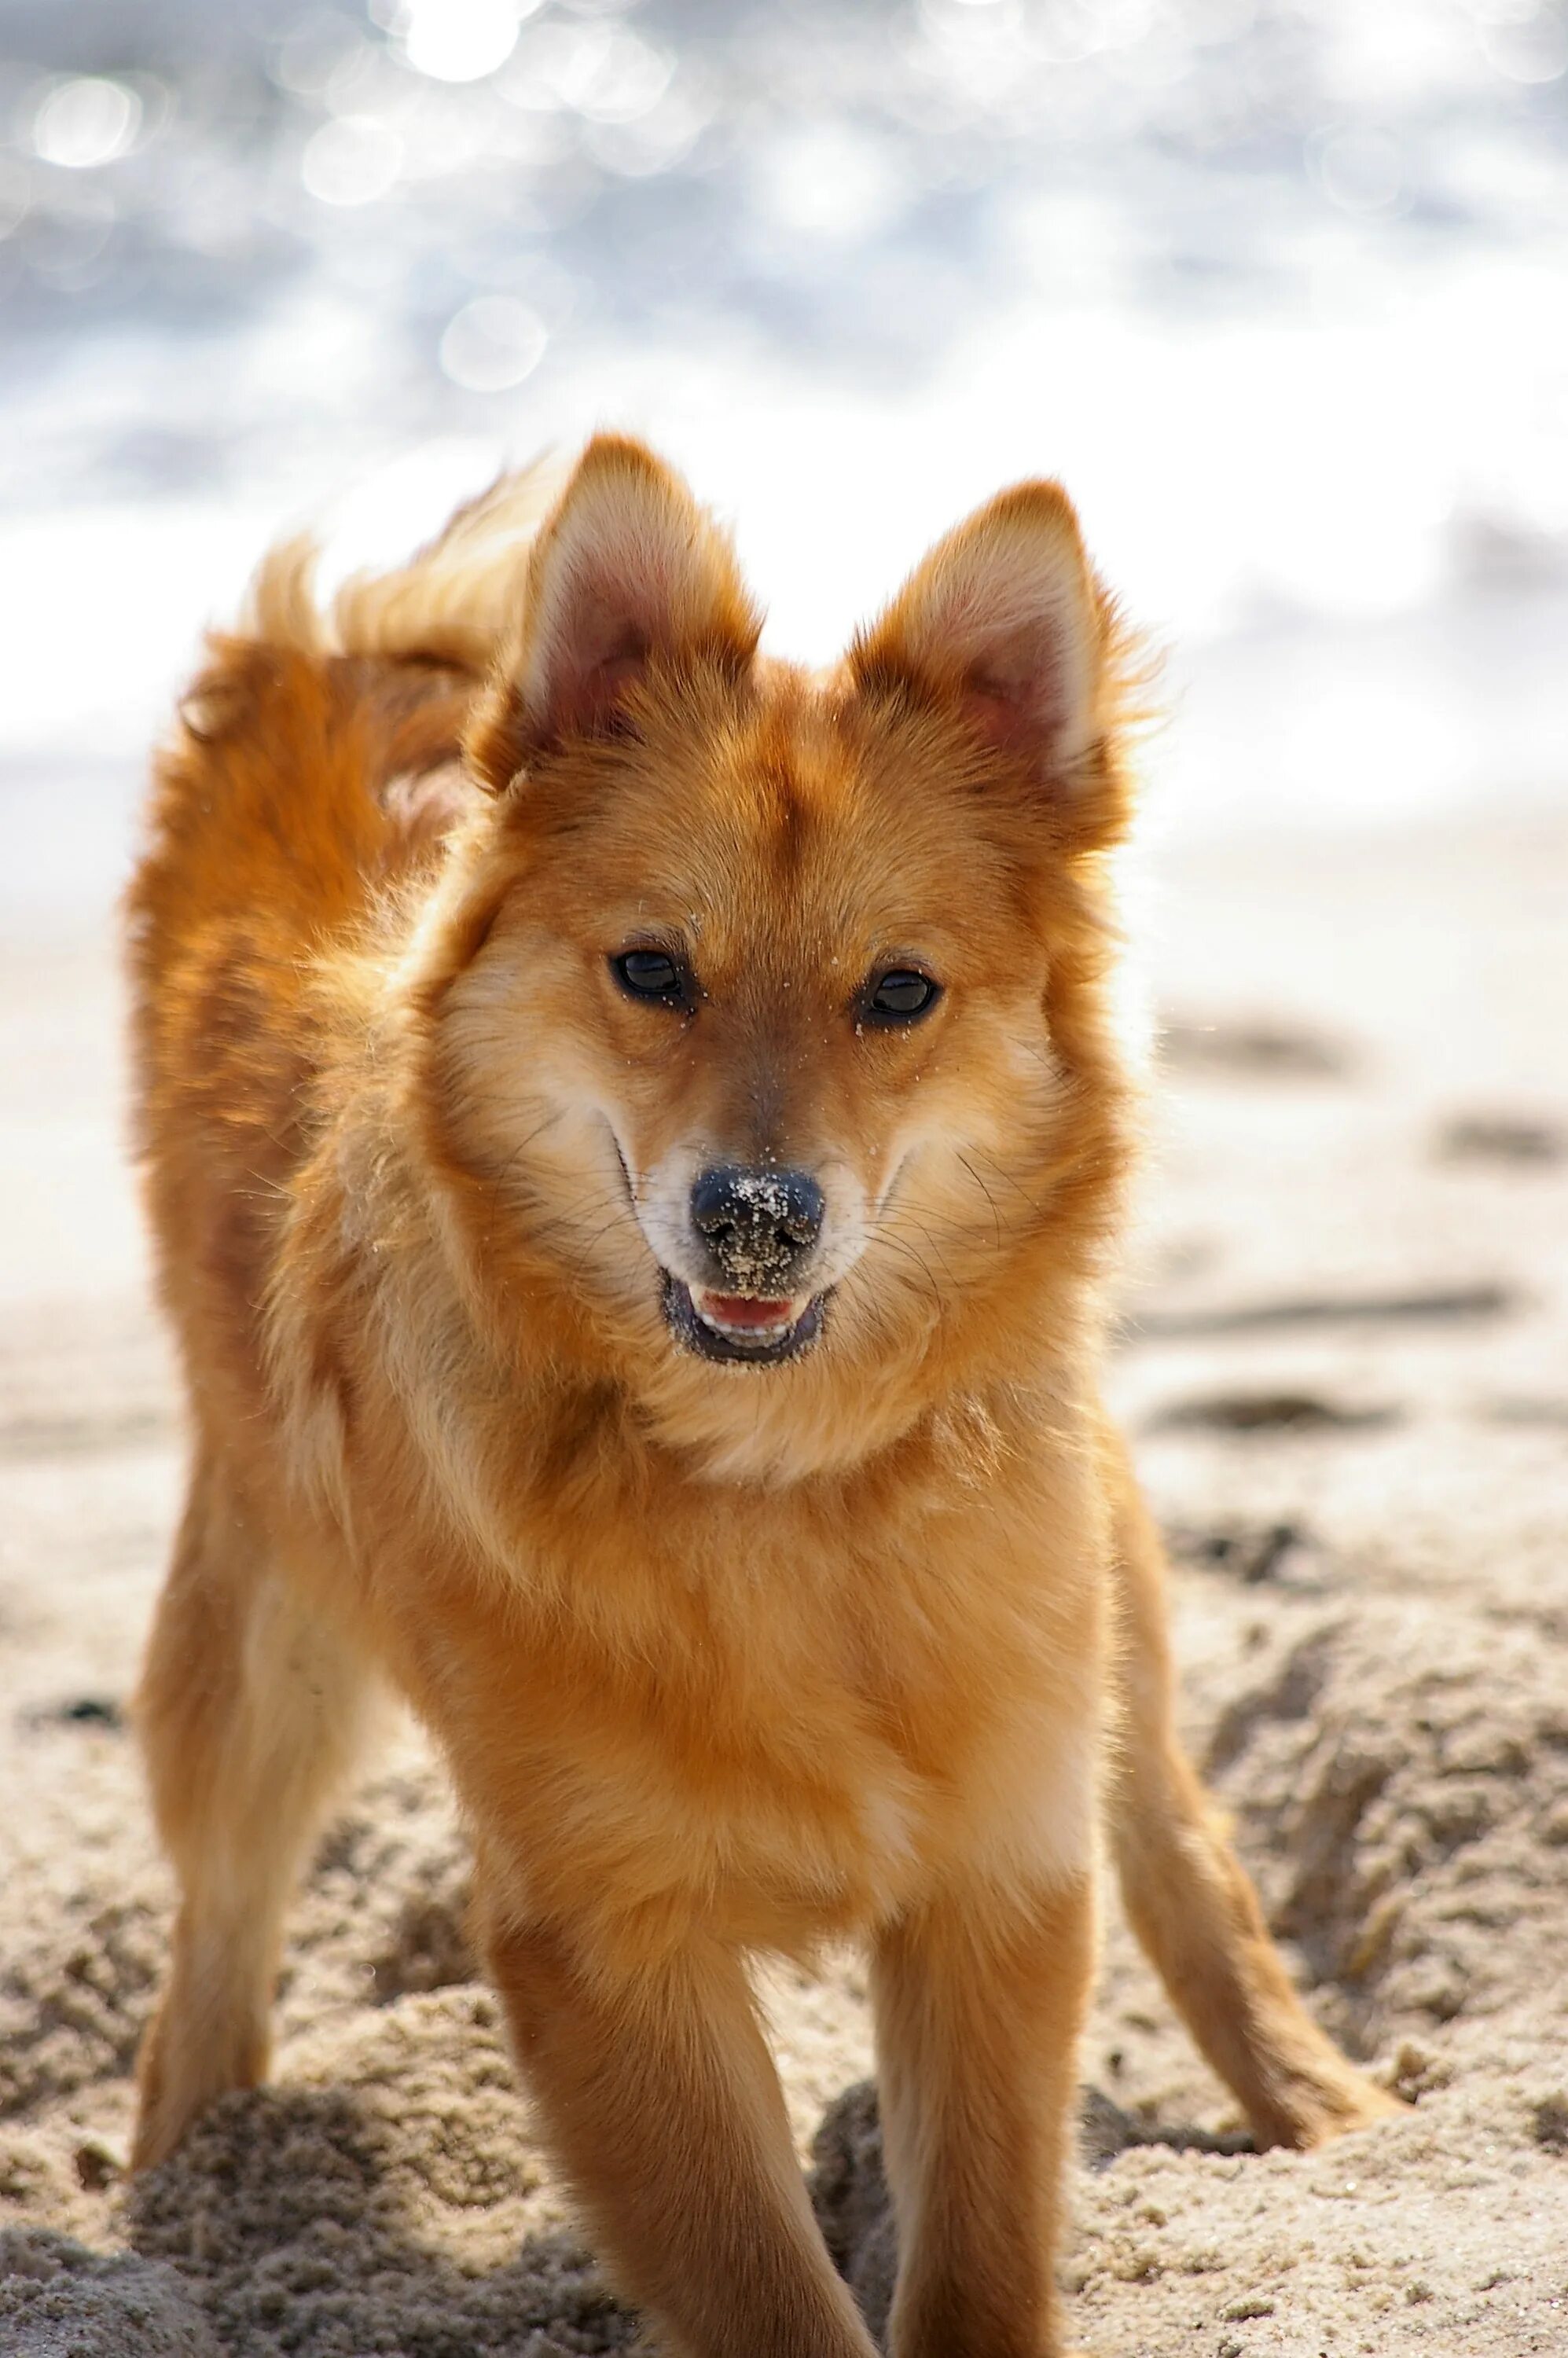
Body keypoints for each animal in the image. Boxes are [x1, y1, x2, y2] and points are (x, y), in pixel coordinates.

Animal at [125, 443, 1396, 2358]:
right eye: (652, 970)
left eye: (899, 993)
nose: (756, 1215)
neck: (785, 1487)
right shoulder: (604, 1943)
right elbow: (769, 2292)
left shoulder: (994, 1880)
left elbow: (979, 2255)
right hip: (257, 1649)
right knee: (213, 1939)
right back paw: (186, 2191)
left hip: (1105, 1604)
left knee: (1179, 1833)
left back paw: (1327, 2109)